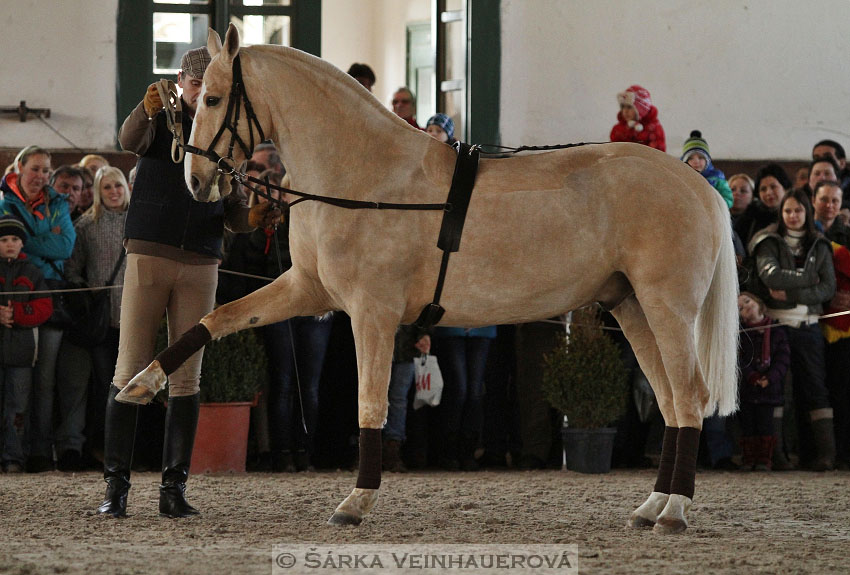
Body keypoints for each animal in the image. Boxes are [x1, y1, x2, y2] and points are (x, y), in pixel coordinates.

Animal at [117, 24, 736, 532]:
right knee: (672, 402)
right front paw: (140, 384)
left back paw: (675, 512)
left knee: (690, 396)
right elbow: (213, 319)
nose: (197, 181)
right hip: (631, 307)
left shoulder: (371, 313)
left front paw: (355, 503)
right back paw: (652, 506)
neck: (363, 176)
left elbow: (371, 404)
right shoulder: (307, 289)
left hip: (666, 308)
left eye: (214, 98)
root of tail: (698, 186)